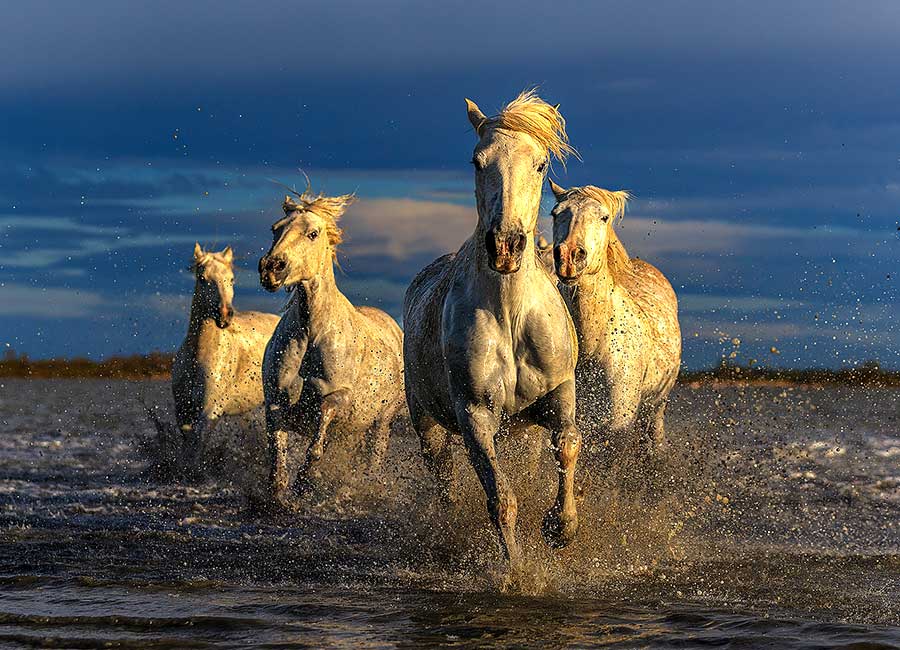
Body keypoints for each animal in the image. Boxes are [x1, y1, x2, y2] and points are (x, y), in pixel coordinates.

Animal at [172, 243, 280, 476]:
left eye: (231, 279)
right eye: (202, 278)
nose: (224, 315)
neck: (199, 357)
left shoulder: (210, 410)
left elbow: (197, 445)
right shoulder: (183, 410)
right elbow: (188, 445)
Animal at [257, 184, 404, 512]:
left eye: (312, 233)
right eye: (275, 229)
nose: (272, 269)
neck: (311, 333)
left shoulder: (340, 398)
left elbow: (318, 435)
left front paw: (304, 485)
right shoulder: (274, 399)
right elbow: (276, 451)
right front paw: (277, 495)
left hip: (382, 422)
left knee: (374, 459)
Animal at [403, 90, 582, 574]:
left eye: (540, 164)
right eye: (477, 161)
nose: (505, 246)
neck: (510, 314)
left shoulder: (560, 393)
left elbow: (569, 444)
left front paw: (560, 528)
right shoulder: (476, 415)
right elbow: (502, 500)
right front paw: (518, 573)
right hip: (428, 426)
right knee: (444, 480)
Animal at [548, 180, 681, 462]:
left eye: (604, 217)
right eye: (556, 213)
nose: (568, 257)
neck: (593, 346)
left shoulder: (617, 427)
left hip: (656, 406)